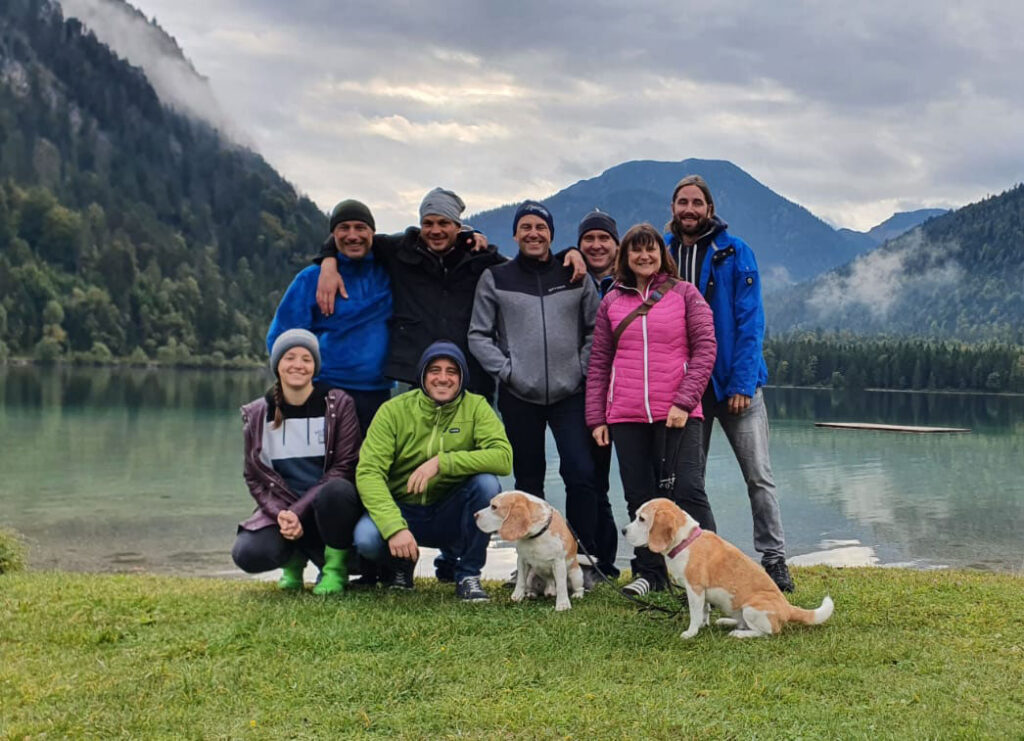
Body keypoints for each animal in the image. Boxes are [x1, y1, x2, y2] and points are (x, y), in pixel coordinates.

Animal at [622, 501, 831, 638]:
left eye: (642, 519)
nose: (623, 531)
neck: (686, 541)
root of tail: (787, 608)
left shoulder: (695, 589)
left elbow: (695, 614)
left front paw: (691, 632)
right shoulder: (702, 593)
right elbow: (705, 610)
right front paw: (703, 625)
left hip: (752, 608)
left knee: (766, 632)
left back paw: (739, 634)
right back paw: (727, 622)